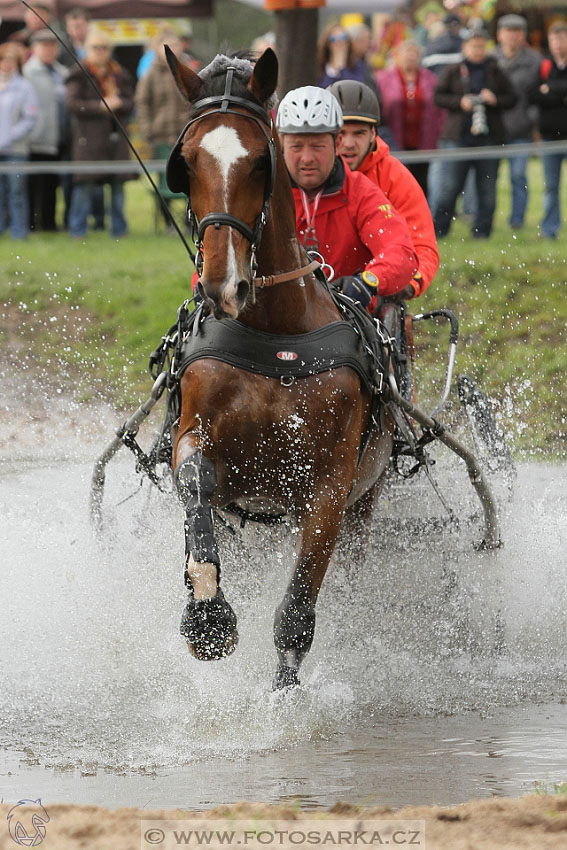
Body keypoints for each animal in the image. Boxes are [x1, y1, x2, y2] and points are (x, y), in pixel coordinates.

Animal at [164, 48, 394, 688]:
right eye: (186, 162)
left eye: (259, 161)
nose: (224, 285)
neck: (274, 333)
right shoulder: (198, 442)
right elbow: (195, 486)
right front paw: (207, 616)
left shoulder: (330, 488)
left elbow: (296, 613)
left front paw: (284, 696)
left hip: (365, 503)